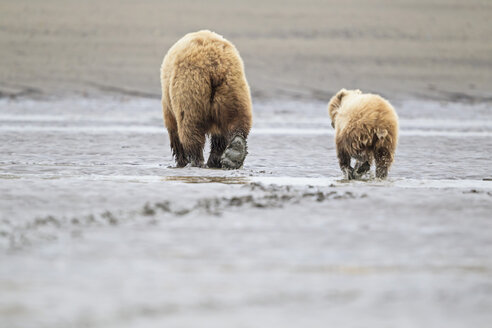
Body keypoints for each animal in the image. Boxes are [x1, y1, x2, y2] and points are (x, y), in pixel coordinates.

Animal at [160, 30, 254, 169]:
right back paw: (233, 153)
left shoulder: (169, 103)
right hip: (232, 87)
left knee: (189, 124)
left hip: (190, 86)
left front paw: (181, 160)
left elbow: (173, 128)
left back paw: (196, 160)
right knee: (236, 118)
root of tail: (214, 66)